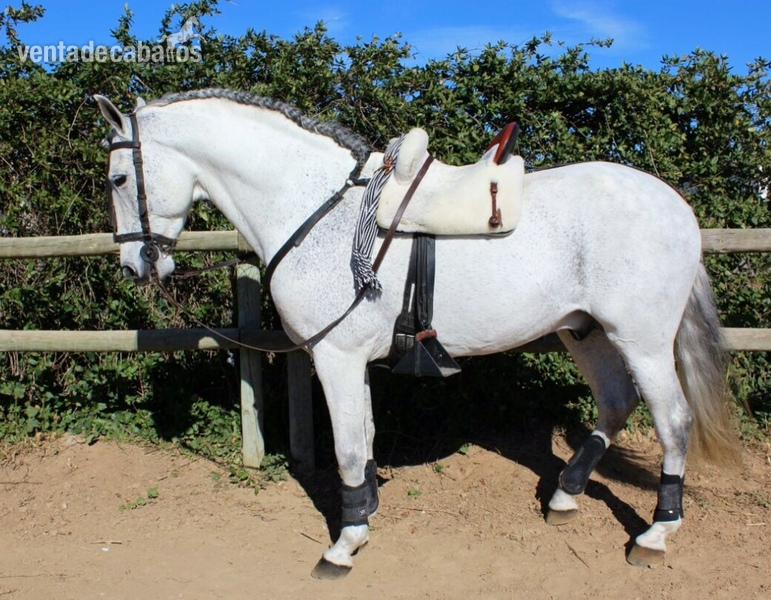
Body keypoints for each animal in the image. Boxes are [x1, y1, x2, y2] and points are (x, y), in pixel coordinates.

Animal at [94, 88, 740, 578]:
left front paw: (345, 543)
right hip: (585, 333)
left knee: (672, 421)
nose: (133, 267)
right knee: (615, 403)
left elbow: (348, 447)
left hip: (642, 341)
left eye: (120, 177)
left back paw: (656, 534)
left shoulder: (335, 356)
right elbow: (364, 438)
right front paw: (365, 512)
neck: (316, 210)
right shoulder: (346, 360)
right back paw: (564, 495)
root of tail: (675, 206)